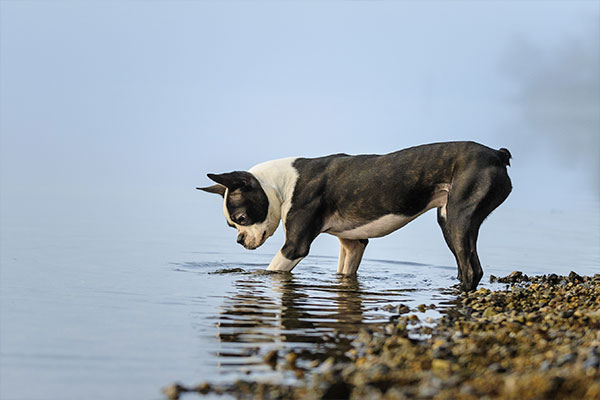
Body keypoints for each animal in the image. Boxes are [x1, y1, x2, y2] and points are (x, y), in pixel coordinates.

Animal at [197, 141, 510, 290]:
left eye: (241, 219)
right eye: (231, 225)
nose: (239, 241)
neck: (282, 185)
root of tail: (497, 154)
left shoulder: (294, 247)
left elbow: (270, 270)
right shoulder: (353, 243)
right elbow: (345, 273)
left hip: (458, 218)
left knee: (471, 269)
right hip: (448, 219)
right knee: (464, 265)